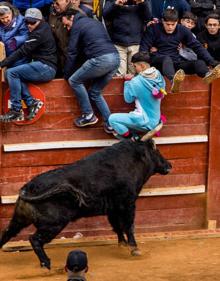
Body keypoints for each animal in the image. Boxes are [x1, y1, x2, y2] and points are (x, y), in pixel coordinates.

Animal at [0, 139, 171, 268]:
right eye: (157, 152)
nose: (169, 165)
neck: (133, 160)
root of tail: (27, 188)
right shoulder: (128, 203)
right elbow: (128, 226)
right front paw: (134, 249)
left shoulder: (113, 209)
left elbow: (117, 226)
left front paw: (122, 245)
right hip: (53, 224)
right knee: (34, 239)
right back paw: (46, 264)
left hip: (20, 219)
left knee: (7, 232)